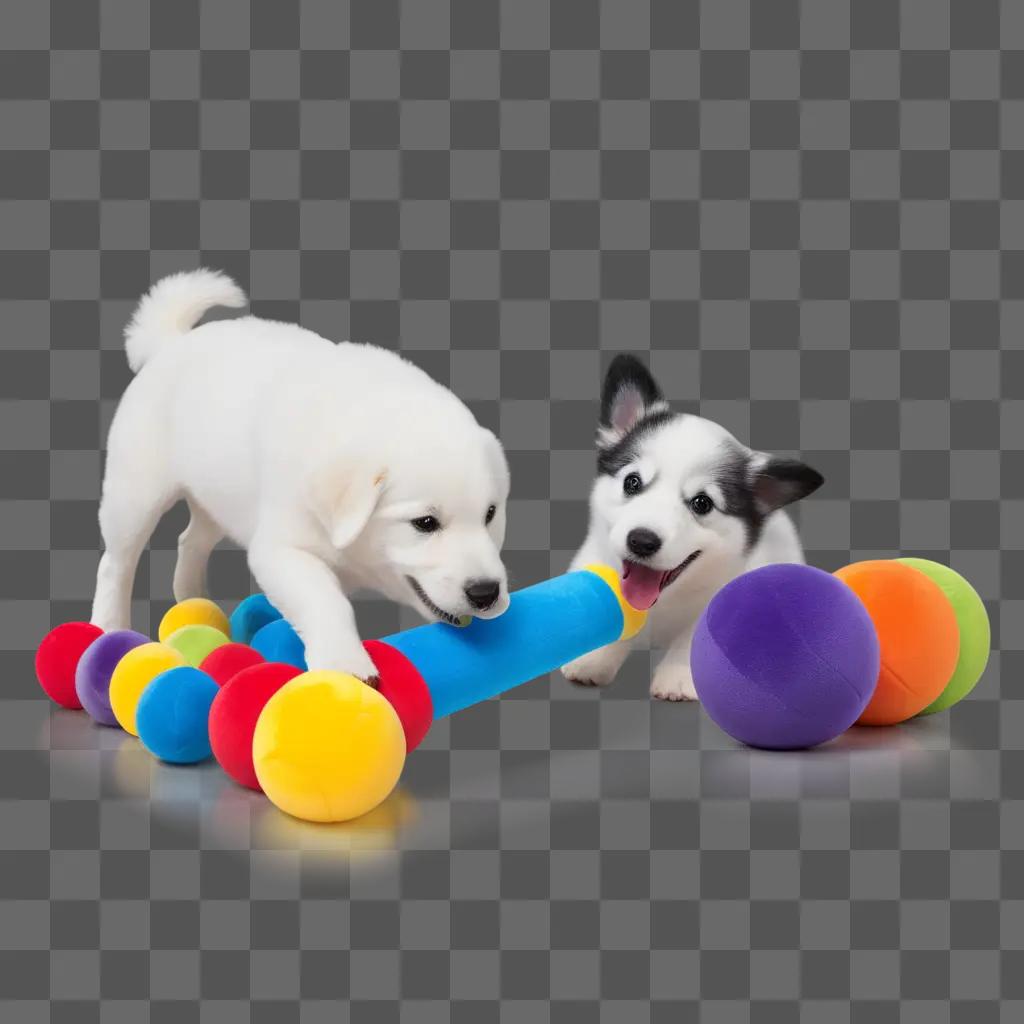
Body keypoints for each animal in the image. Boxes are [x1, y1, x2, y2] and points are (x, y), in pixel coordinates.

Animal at [93, 270, 512, 679]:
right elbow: (325, 598)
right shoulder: (280, 550)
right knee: (116, 564)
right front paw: (346, 664)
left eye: (490, 515)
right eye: (425, 523)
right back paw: (108, 628)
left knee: (190, 539)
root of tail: (172, 343)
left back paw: (194, 597)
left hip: (215, 495)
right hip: (136, 494)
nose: (486, 593)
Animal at [561, 356, 823, 700]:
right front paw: (592, 658)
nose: (641, 541)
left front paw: (678, 678)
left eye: (702, 503)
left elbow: (697, 633)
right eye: (632, 482)